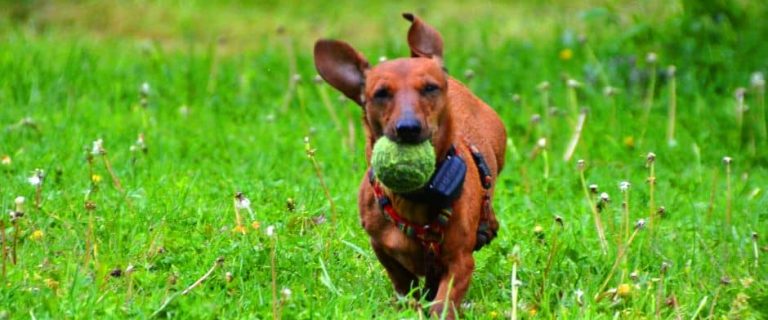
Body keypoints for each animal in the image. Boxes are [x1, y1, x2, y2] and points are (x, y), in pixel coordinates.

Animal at [312, 12, 504, 318]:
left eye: (430, 88)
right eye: (381, 93)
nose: (408, 128)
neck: (415, 197)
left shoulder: (460, 261)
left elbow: (444, 301)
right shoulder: (381, 247)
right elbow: (404, 282)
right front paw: (408, 305)